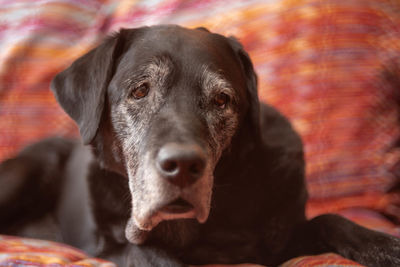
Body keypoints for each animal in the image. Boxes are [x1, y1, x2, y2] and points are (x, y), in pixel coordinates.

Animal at [0, 24, 400, 266]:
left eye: (222, 100)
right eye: (140, 90)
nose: (182, 166)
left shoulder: (280, 243)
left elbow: (330, 219)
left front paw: (385, 246)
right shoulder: (114, 246)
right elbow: (149, 254)